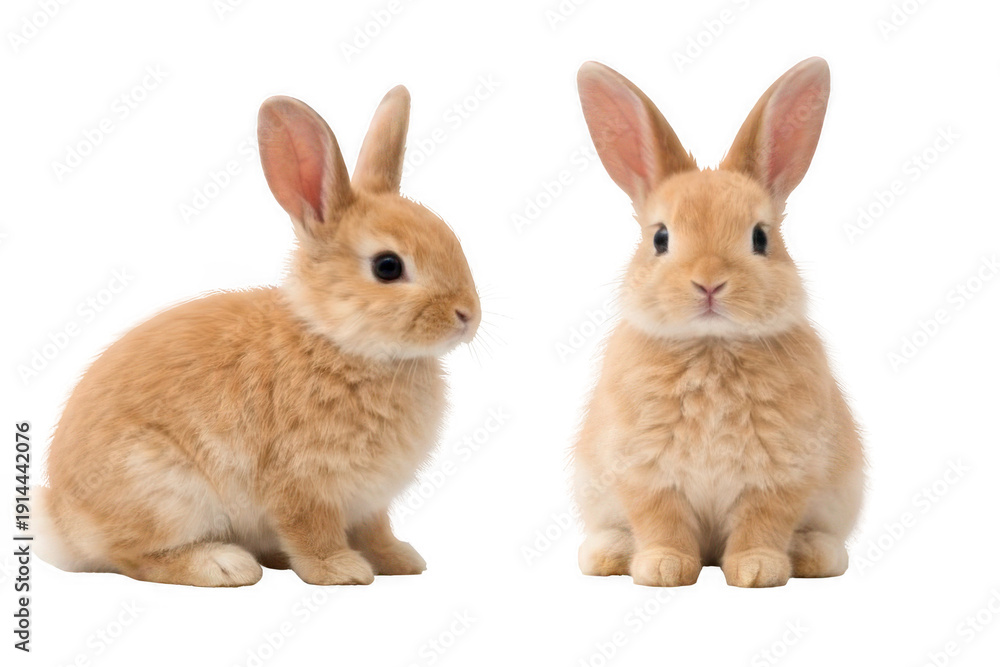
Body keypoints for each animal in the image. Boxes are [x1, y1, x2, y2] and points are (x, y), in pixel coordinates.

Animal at [34, 86, 481, 587]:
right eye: (388, 267)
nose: (469, 315)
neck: (338, 341)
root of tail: (66, 521)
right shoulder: (302, 483)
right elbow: (312, 530)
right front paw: (341, 571)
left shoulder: (370, 500)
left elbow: (376, 529)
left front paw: (400, 561)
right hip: (163, 488)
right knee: (136, 557)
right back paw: (226, 565)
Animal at [572, 57, 864, 588]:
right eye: (661, 238)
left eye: (760, 237)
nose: (709, 283)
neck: (711, 345)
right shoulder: (644, 472)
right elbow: (661, 520)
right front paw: (664, 568)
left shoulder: (781, 472)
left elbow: (762, 521)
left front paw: (757, 570)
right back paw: (609, 555)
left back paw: (813, 556)